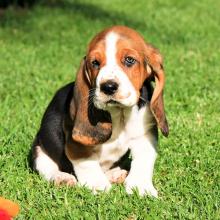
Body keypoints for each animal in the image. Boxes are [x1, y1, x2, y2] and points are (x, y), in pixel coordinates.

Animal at [31, 25, 168, 198]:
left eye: (129, 60)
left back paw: (115, 174)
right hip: (39, 146)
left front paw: (141, 187)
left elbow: (144, 161)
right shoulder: (77, 145)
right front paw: (98, 185)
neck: (120, 114)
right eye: (95, 63)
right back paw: (61, 178)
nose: (108, 87)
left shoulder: (145, 135)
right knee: (46, 166)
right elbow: (87, 163)